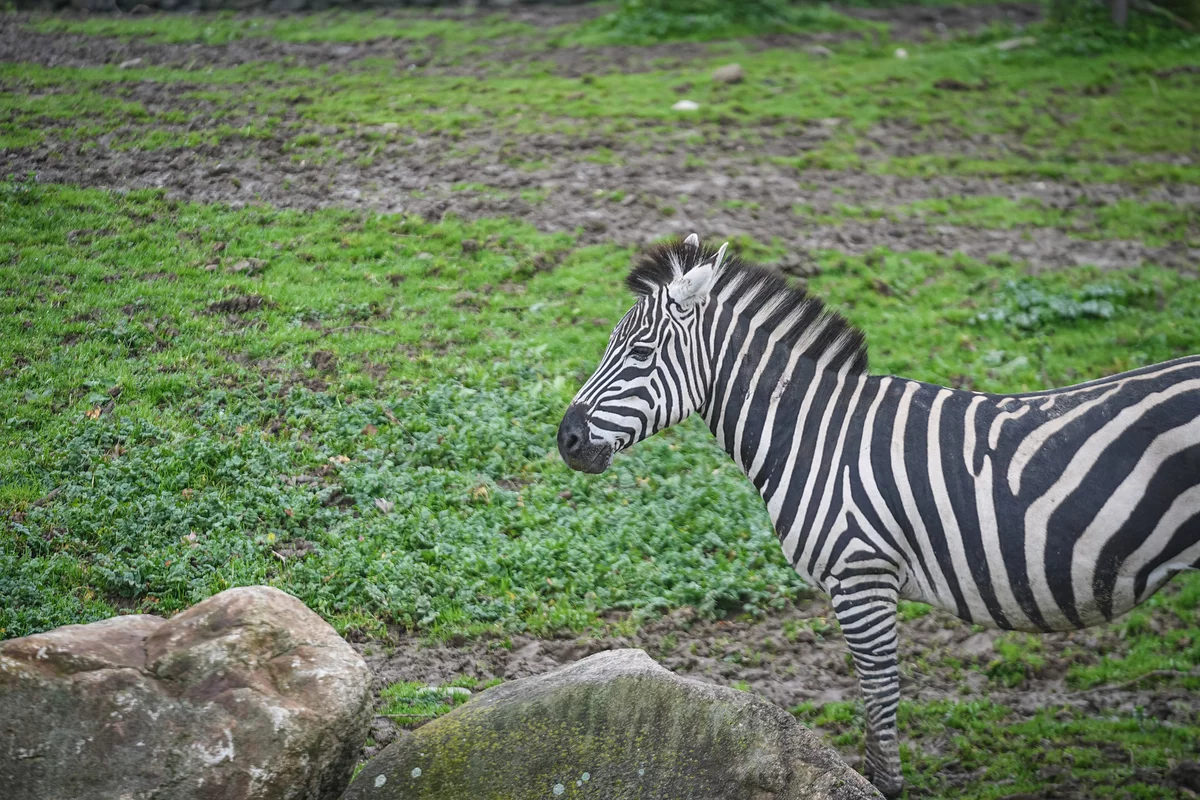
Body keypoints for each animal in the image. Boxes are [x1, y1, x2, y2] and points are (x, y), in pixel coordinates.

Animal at [556, 234, 1200, 797]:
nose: (566, 440)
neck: (818, 435)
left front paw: (884, 786)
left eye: (640, 353)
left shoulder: (860, 574)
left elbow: (879, 690)